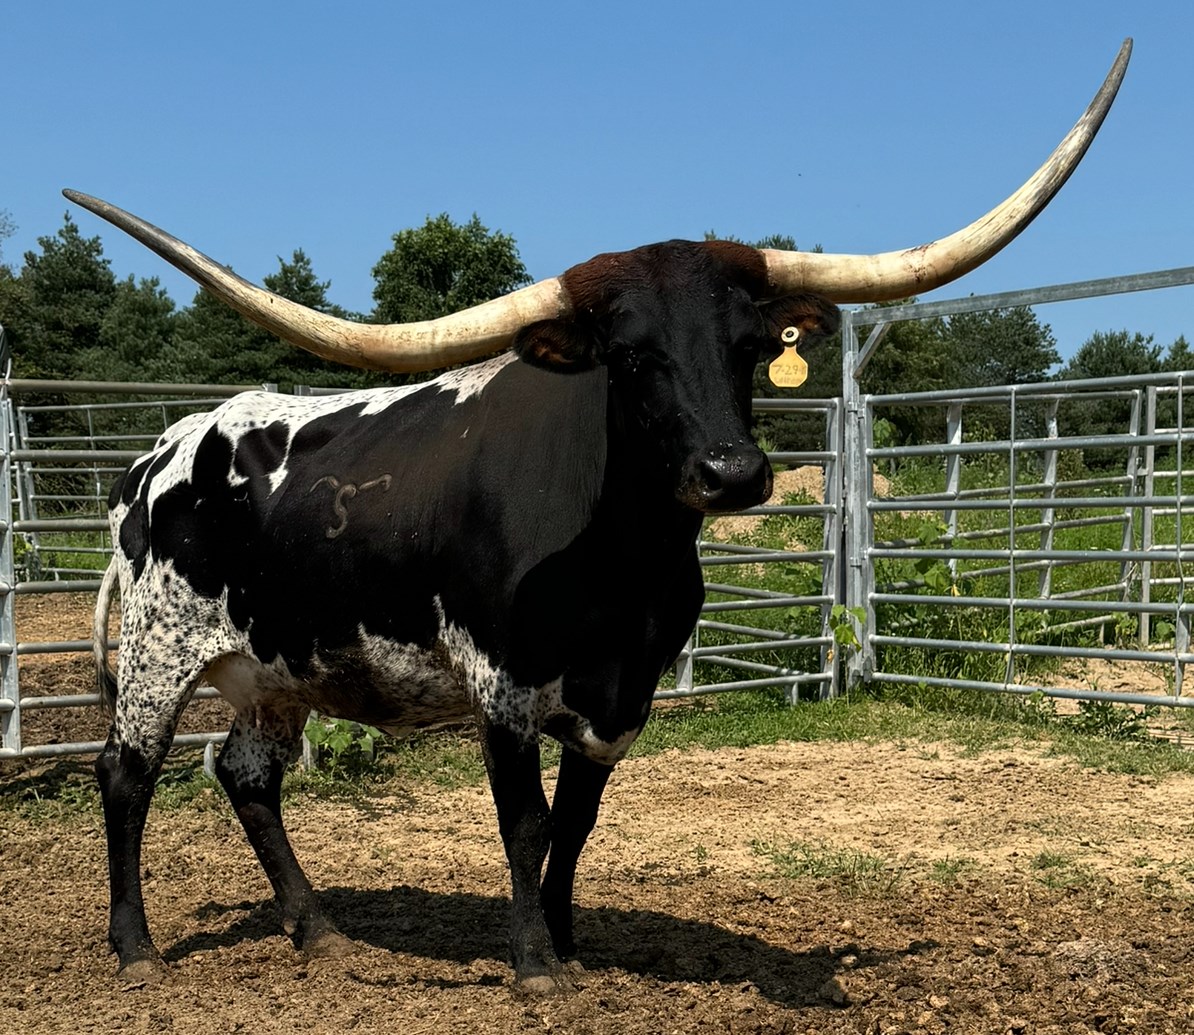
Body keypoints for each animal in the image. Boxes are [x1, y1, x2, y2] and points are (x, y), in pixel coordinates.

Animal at [73, 40, 1128, 994]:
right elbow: (524, 821)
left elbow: (576, 825)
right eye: (628, 356)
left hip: (276, 664)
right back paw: (135, 946)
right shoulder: (500, 685)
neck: (624, 565)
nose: (733, 472)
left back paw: (319, 931)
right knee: (126, 774)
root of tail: (159, 453)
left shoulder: (623, 695)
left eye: (750, 346)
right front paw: (536, 965)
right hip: (160, 652)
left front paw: (571, 940)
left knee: (246, 773)